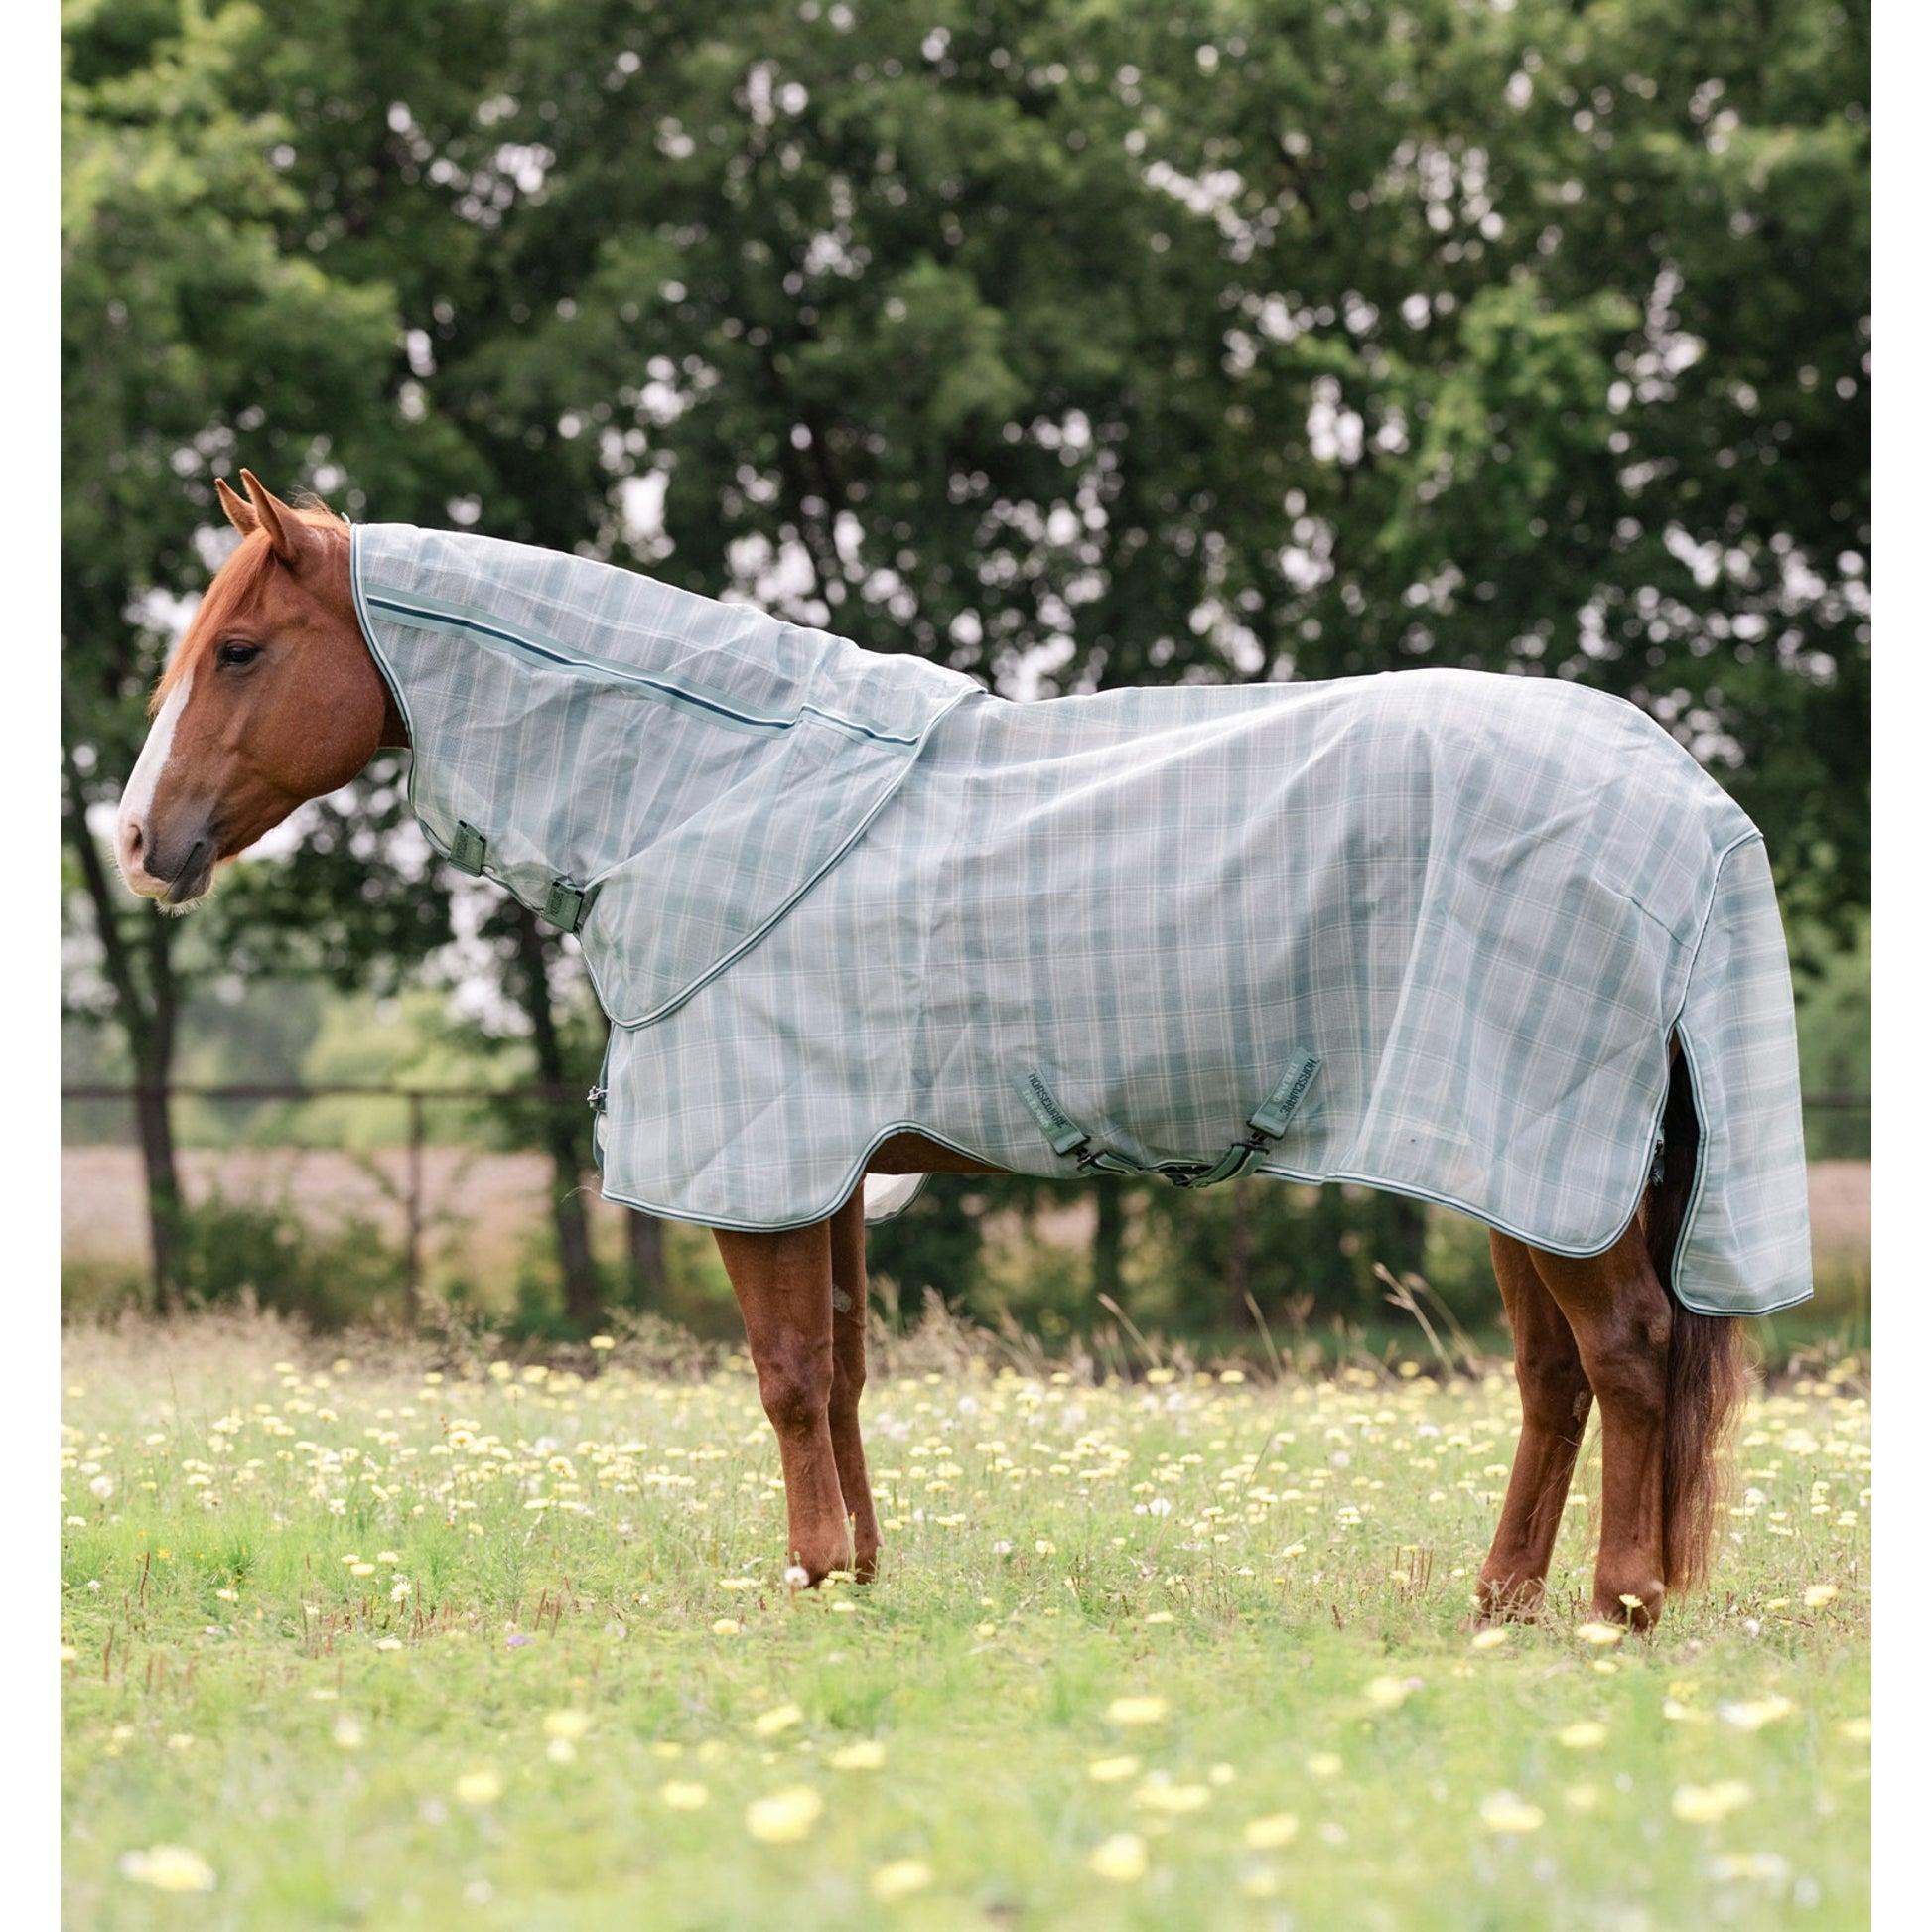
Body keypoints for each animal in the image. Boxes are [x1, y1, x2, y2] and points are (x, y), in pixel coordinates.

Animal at [116, 469, 1811, 1629]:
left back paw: (1615, 1606)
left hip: (1540, 1149)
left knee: (1627, 1353)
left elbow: (789, 1373)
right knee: (1556, 1377)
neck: (710, 786)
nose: (141, 840)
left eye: (243, 648)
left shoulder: (765, 1156)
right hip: (1517, 1157)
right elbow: (843, 1367)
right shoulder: (831, 1168)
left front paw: (808, 1577)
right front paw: (857, 1573)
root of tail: (1680, 797)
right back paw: (1499, 1603)